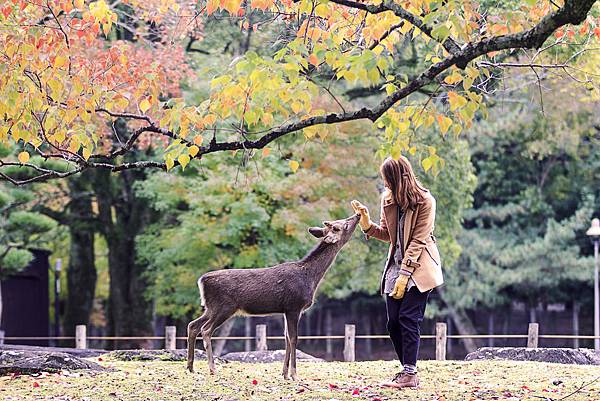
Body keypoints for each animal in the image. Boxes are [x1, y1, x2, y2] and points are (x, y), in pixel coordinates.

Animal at [185, 212, 358, 378]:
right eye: (342, 225)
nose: (357, 215)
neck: (310, 277)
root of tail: (202, 280)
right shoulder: (294, 306)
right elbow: (294, 338)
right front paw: (294, 375)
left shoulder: (286, 309)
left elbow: (286, 338)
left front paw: (284, 374)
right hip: (224, 306)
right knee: (206, 330)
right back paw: (212, 368)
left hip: (211, 307)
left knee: (193, 325)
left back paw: (191, 367)